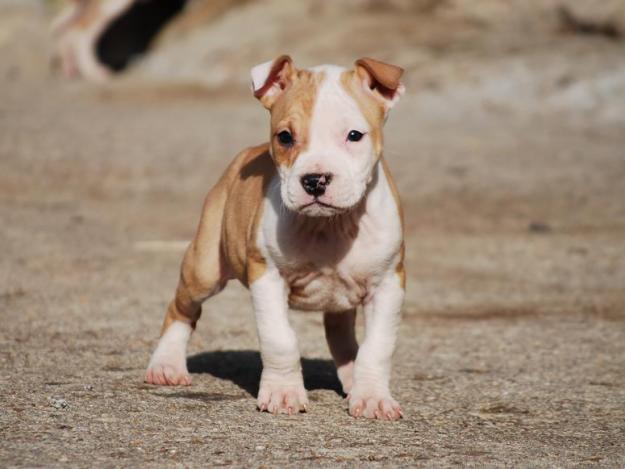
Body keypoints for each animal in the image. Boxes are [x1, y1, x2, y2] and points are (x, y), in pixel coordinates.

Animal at [144, 55, 404, 420]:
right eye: (285, 137)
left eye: (354, 135)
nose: (315, 180)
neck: (330, 225)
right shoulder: (266, 275)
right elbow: (280, 339)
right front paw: (283, 393)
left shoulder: (388, 283)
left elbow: (377, 347)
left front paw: (372, 397)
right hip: (204, 268)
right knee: (181, 309)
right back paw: (166, 365)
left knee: (340, 335)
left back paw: (353, 379)